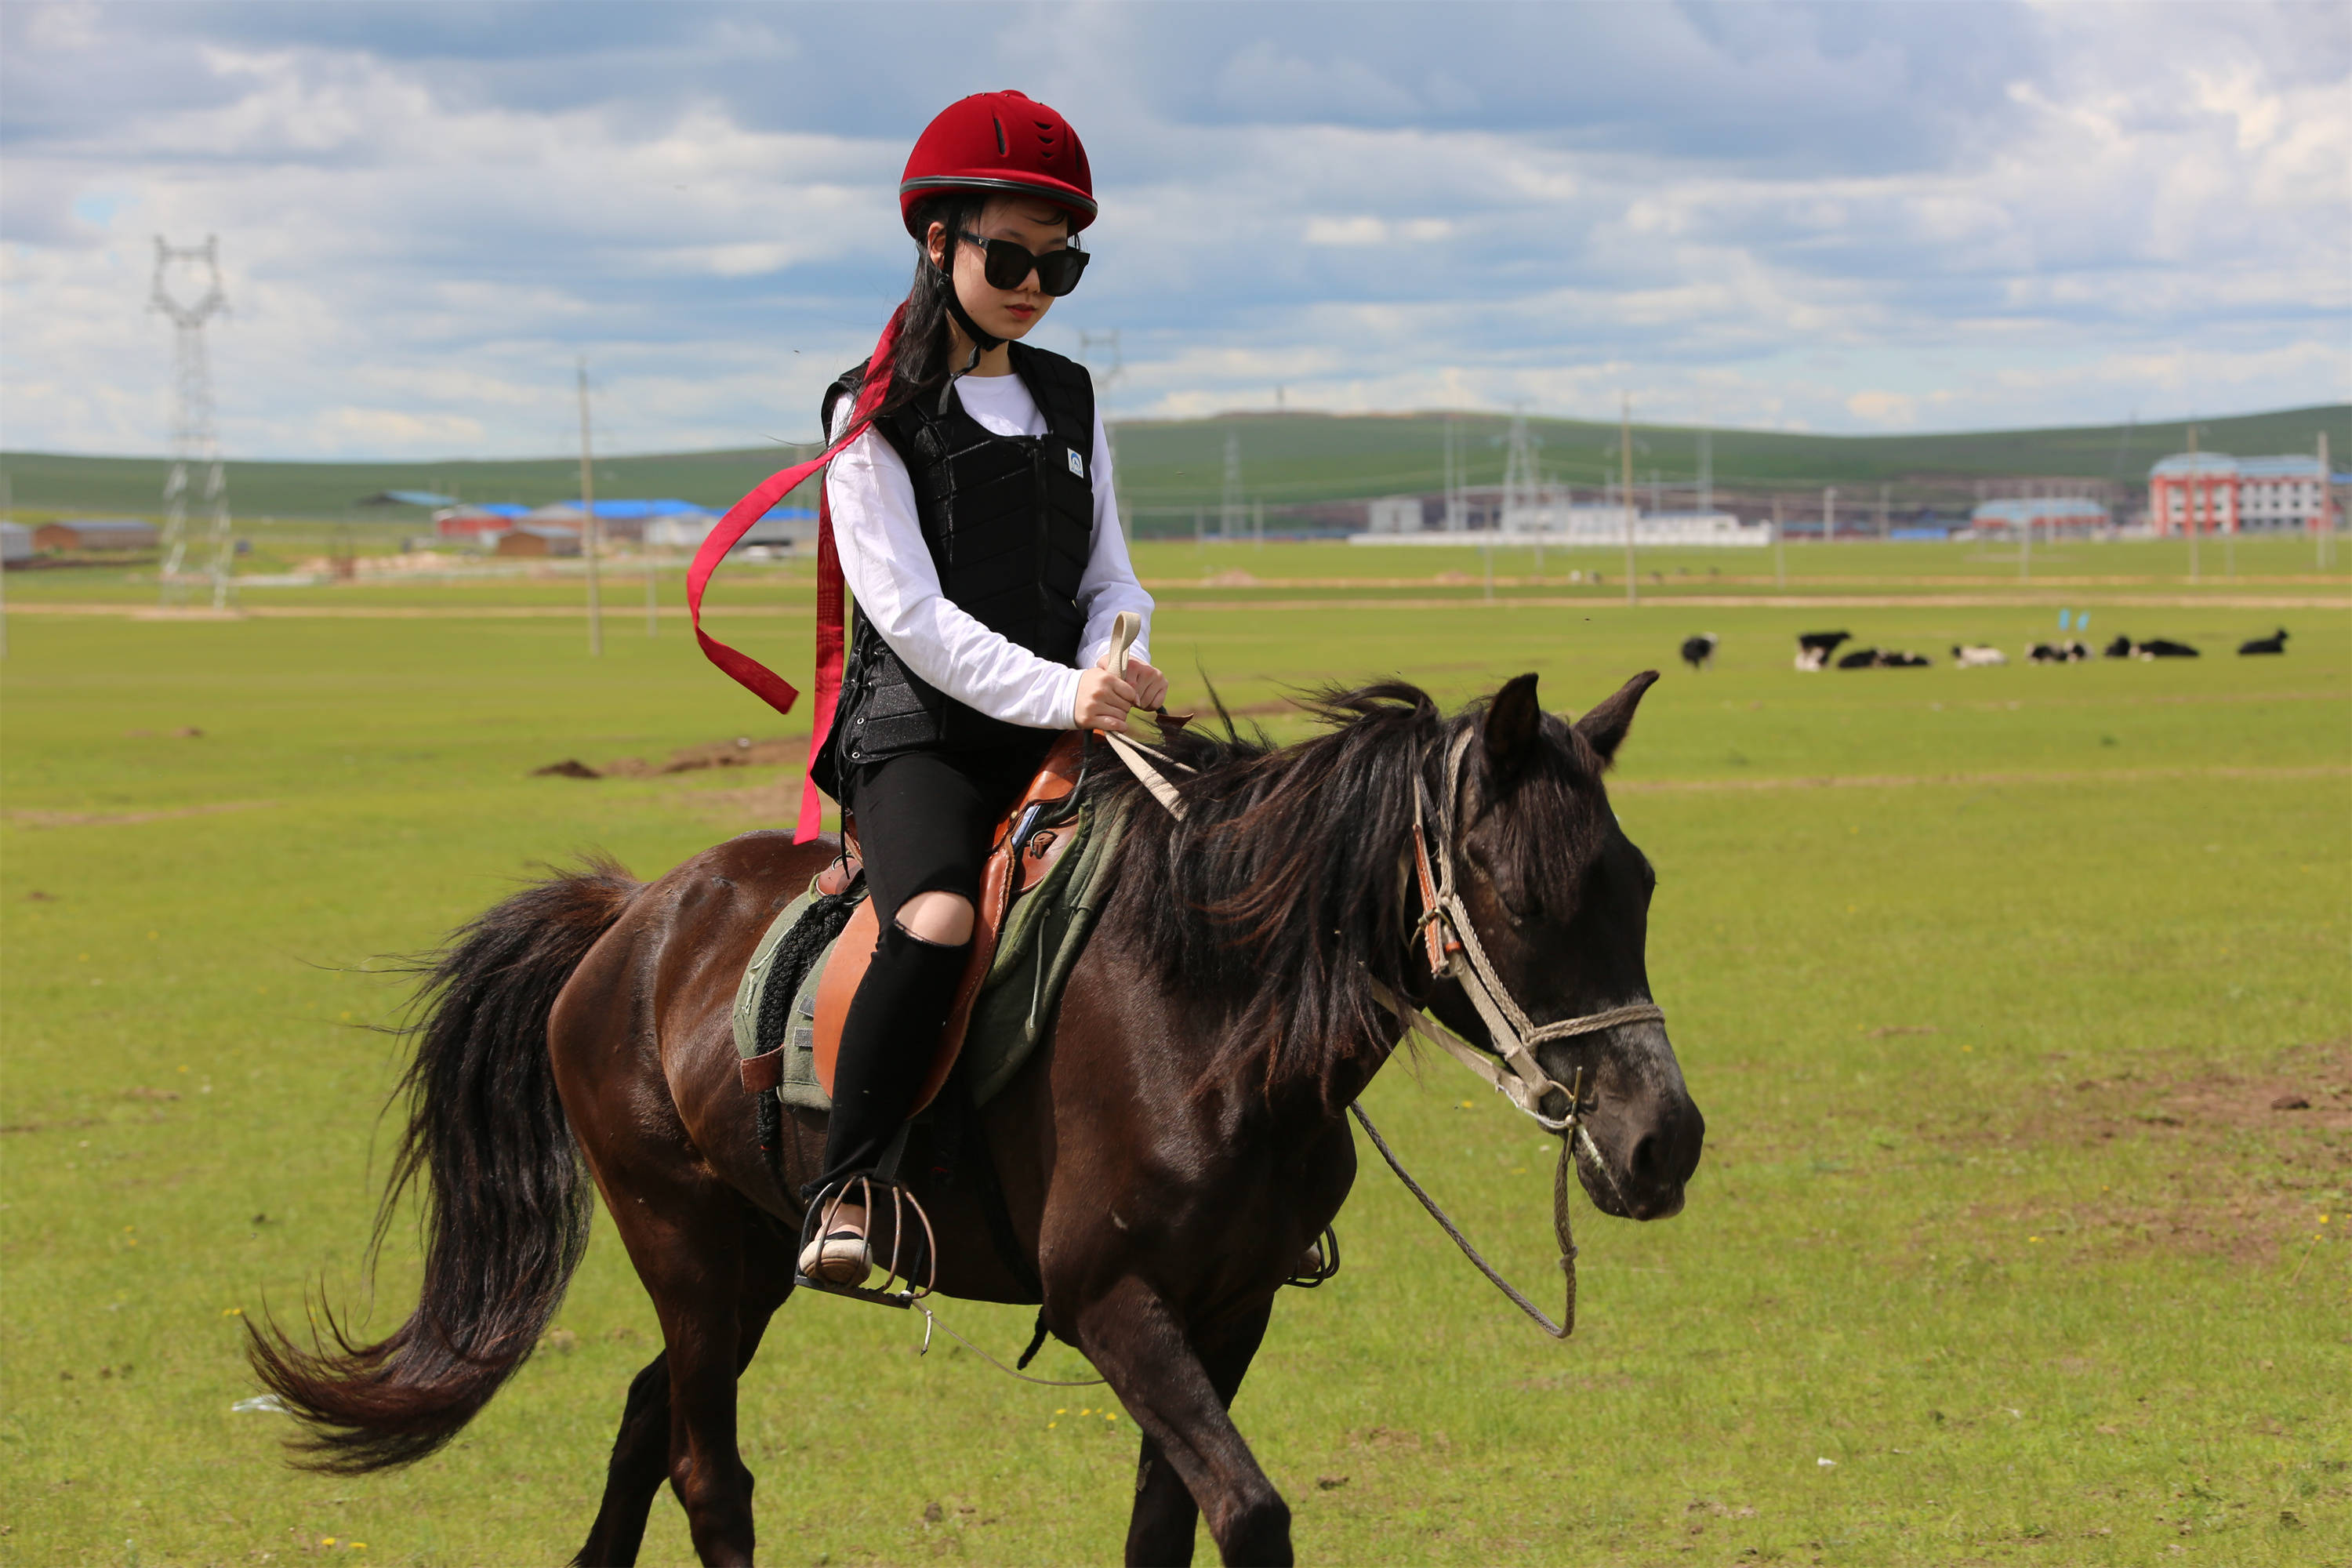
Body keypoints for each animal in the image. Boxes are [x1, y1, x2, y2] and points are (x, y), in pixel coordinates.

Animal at [257, 667, 1712, 1561]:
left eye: (1643, 885)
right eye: (1526, 896)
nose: (1664, 1141)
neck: (1205, 1012)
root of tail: (630, 918)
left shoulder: (1227, 1308)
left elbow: (1167, 1524)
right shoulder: (1111, 1301)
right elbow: (1247, 1515)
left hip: (747, 1258)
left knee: (643, 1421)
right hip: (681, 1242)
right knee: (707, 1472)